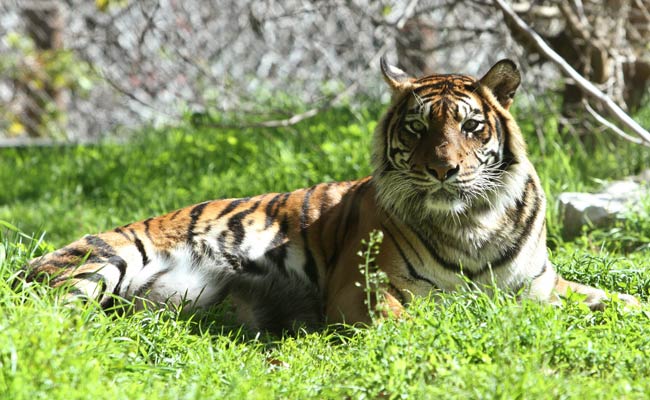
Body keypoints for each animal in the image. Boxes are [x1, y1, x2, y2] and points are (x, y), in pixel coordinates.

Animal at [22, 57, 636, 332]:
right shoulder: (364, 289)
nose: (442, 170)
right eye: (417, 128)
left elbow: (617, 300)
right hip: (104, 260)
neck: (473, 221)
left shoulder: (541, 286)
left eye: (471, 127)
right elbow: (411, 322)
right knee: (40, 317)